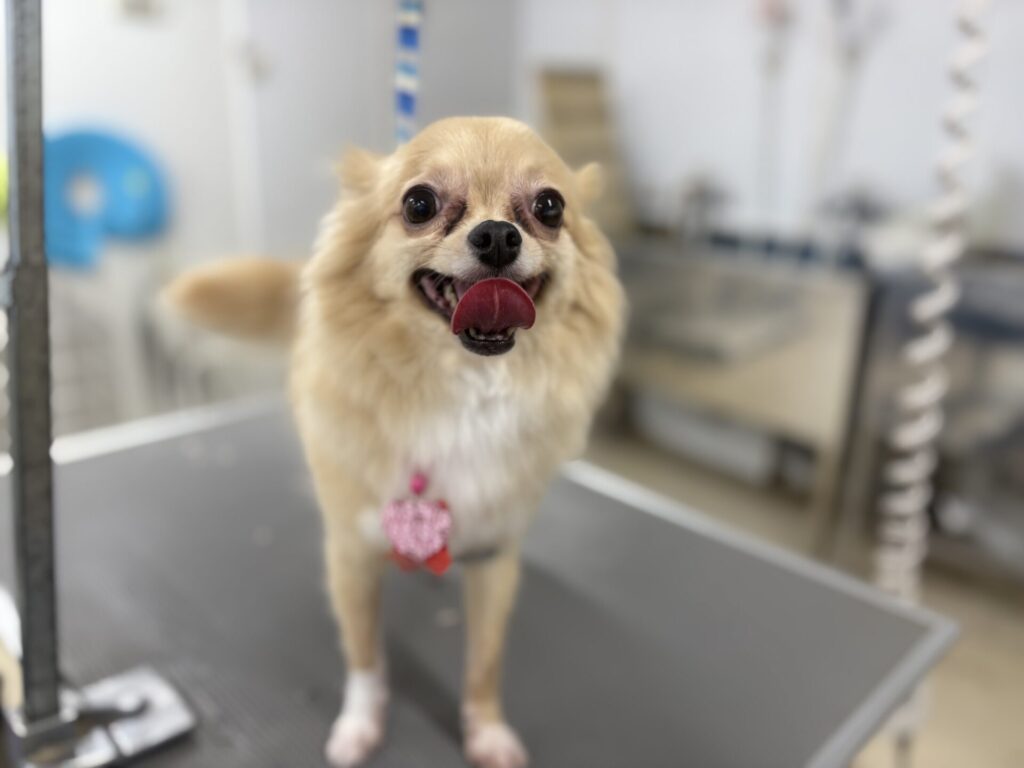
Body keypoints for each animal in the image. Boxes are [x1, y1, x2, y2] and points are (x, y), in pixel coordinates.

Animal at [166, 116, 625, 768]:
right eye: (419, 204)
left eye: (549, 207)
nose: (496, 235)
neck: (461, 396)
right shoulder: (351, 555)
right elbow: (363, 657)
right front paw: (360, 725)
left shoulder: (493, 557)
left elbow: (484, 661)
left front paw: (486, 731)